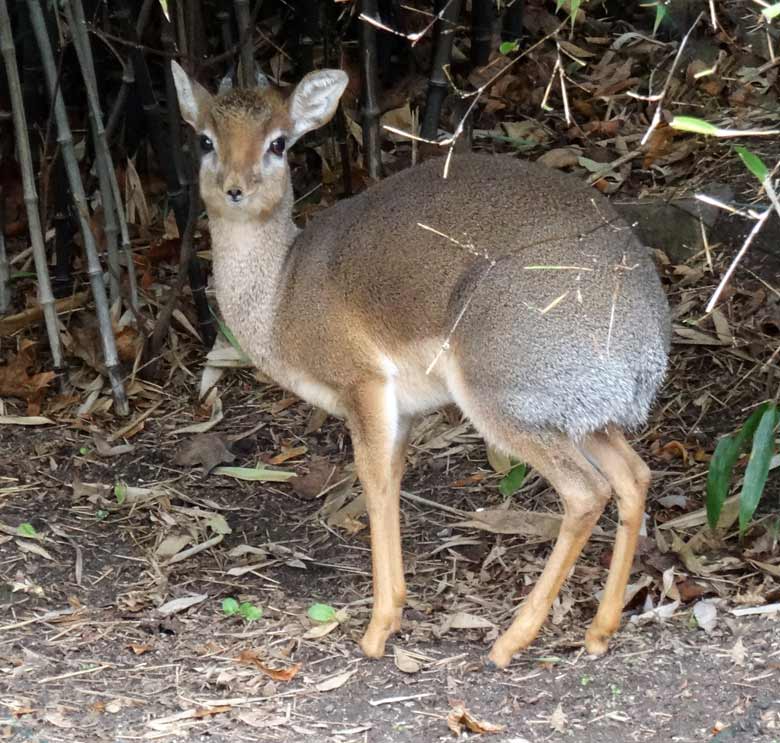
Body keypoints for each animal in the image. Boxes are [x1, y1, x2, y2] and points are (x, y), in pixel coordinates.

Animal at [172, 64, 672, 668]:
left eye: (278, 143)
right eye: (205, 140)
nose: (235, 188)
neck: (280, 294)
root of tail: (648, 339)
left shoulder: (363, 385)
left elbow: (371, 479)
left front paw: (376, 631)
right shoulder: (403, 411)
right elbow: (390, 477)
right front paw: (393, 612)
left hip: (502, 402)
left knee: (585, 492)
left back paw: (510, 641)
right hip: (582, 419)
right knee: (633, 477)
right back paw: (598, 632)